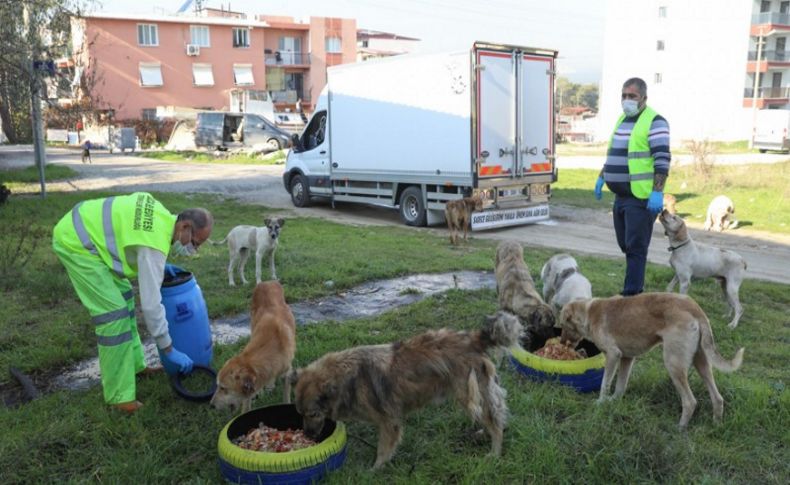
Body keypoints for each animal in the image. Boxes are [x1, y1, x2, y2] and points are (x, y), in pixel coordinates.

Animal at [290, 312, 524, 466]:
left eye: (313, 414)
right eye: (299, 413)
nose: (308, 435)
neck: (348, 378)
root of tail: (474, 338)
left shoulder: (389, 421)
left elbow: (383, 450)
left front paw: (374, 470)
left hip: (468, 394)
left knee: (494, 422)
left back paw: (494, 453)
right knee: (495, 416)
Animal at [560, 292, 744, 428]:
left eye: (562, 325)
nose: (561, 343)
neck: (589, 312)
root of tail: (695, 308)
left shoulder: (613, 355)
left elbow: (605, 384)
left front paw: (600, 403)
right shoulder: (627, 358)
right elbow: (620, 386)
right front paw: (613, 402)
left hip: (673, 364)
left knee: (690, 401)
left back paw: (679, 429)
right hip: (702, 363)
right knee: (718, 398)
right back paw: (716, 426)